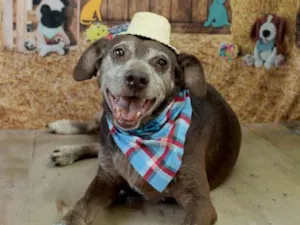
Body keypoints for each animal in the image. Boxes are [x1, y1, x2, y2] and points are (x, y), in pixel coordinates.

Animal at [47, 32, 243, 225]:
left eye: (162, 62)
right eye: (119, 52)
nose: (136, 79)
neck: (137, 136)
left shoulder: (200, 202)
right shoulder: (105, 179)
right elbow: (81, 207)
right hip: (102, 121)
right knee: (93, 132)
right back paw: (64, 131)